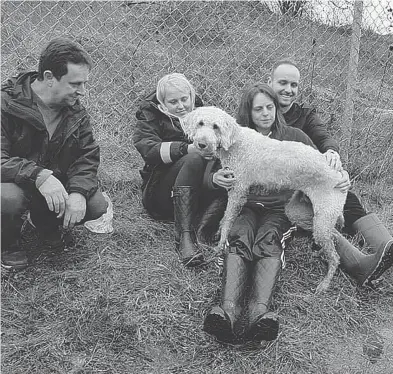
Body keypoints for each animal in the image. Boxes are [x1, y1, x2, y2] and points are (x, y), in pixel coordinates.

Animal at [181, 105, 346, 292]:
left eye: (216, 126)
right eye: (200, 123)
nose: (201, 144)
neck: (236, 143)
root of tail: (339, 173)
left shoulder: (238, 191)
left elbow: (229, 219)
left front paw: (220, 245)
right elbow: (225, 217)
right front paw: (219, 232)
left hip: (323, 218)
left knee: (335, 256)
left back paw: (324, 283)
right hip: (301, 212)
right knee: (332, 237)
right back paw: (319, 253)